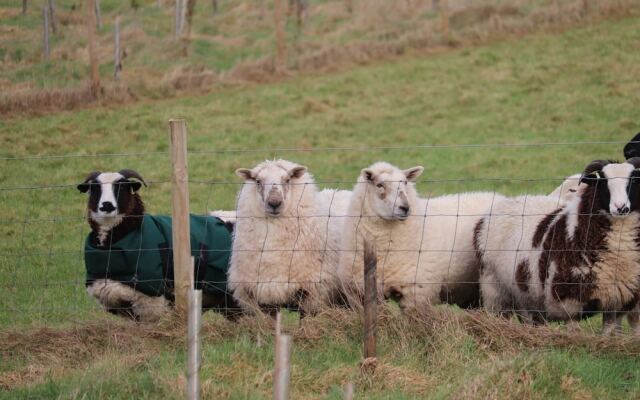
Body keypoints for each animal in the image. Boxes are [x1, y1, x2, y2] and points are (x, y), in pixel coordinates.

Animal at [472, 159, 640, 334]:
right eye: (603, 181)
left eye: (634, 180)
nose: (621, 207)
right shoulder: (568, 303)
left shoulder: (616, 301)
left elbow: (608, 332)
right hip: (494, 289)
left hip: (525, 295)